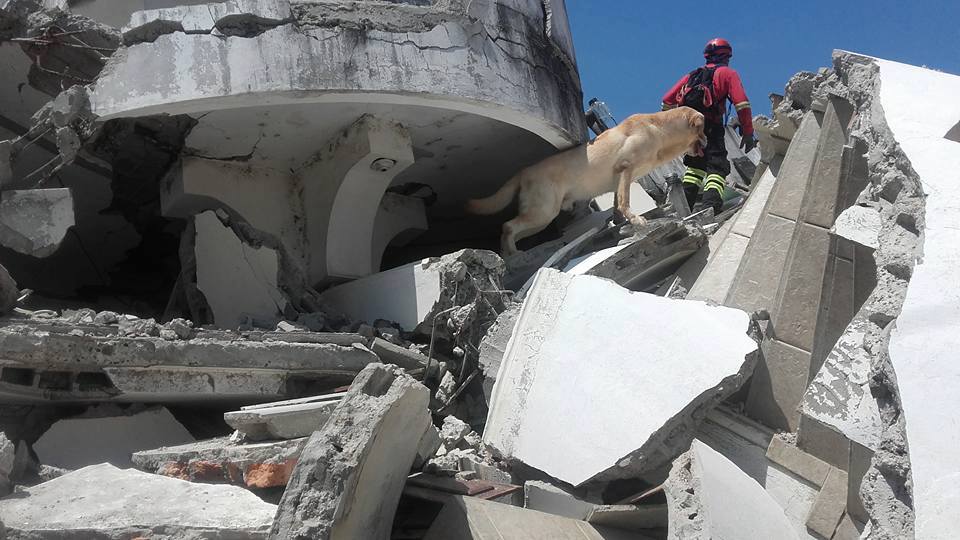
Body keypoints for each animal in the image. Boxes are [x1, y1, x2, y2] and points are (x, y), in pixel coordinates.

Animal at [464, 108, 704, 258]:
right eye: (705, 130)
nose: (709, 142)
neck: (660, 129)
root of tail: (523, 171)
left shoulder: (620, 179)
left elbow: (618, 203)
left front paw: (619, 222)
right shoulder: (625, 169)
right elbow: (625, 201)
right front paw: (635, 220)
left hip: (539, 218)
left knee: (509, 230)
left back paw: (506, 255)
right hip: (543, 212)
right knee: (508, 226)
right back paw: (513, 253)